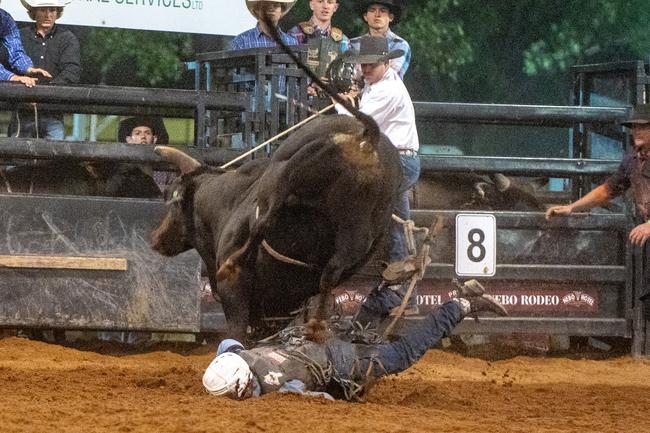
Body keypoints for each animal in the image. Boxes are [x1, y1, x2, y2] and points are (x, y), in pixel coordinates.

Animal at [151, 114, 400, 340]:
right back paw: (316, 326)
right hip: (358, 229)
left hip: (281, 175)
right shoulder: (277, 312)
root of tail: (364, 139)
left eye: (172, 201)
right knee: (331, 270)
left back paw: (232, 267)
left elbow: (236, 329)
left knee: (262, 224)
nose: (156, 238)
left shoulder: (238, 297)